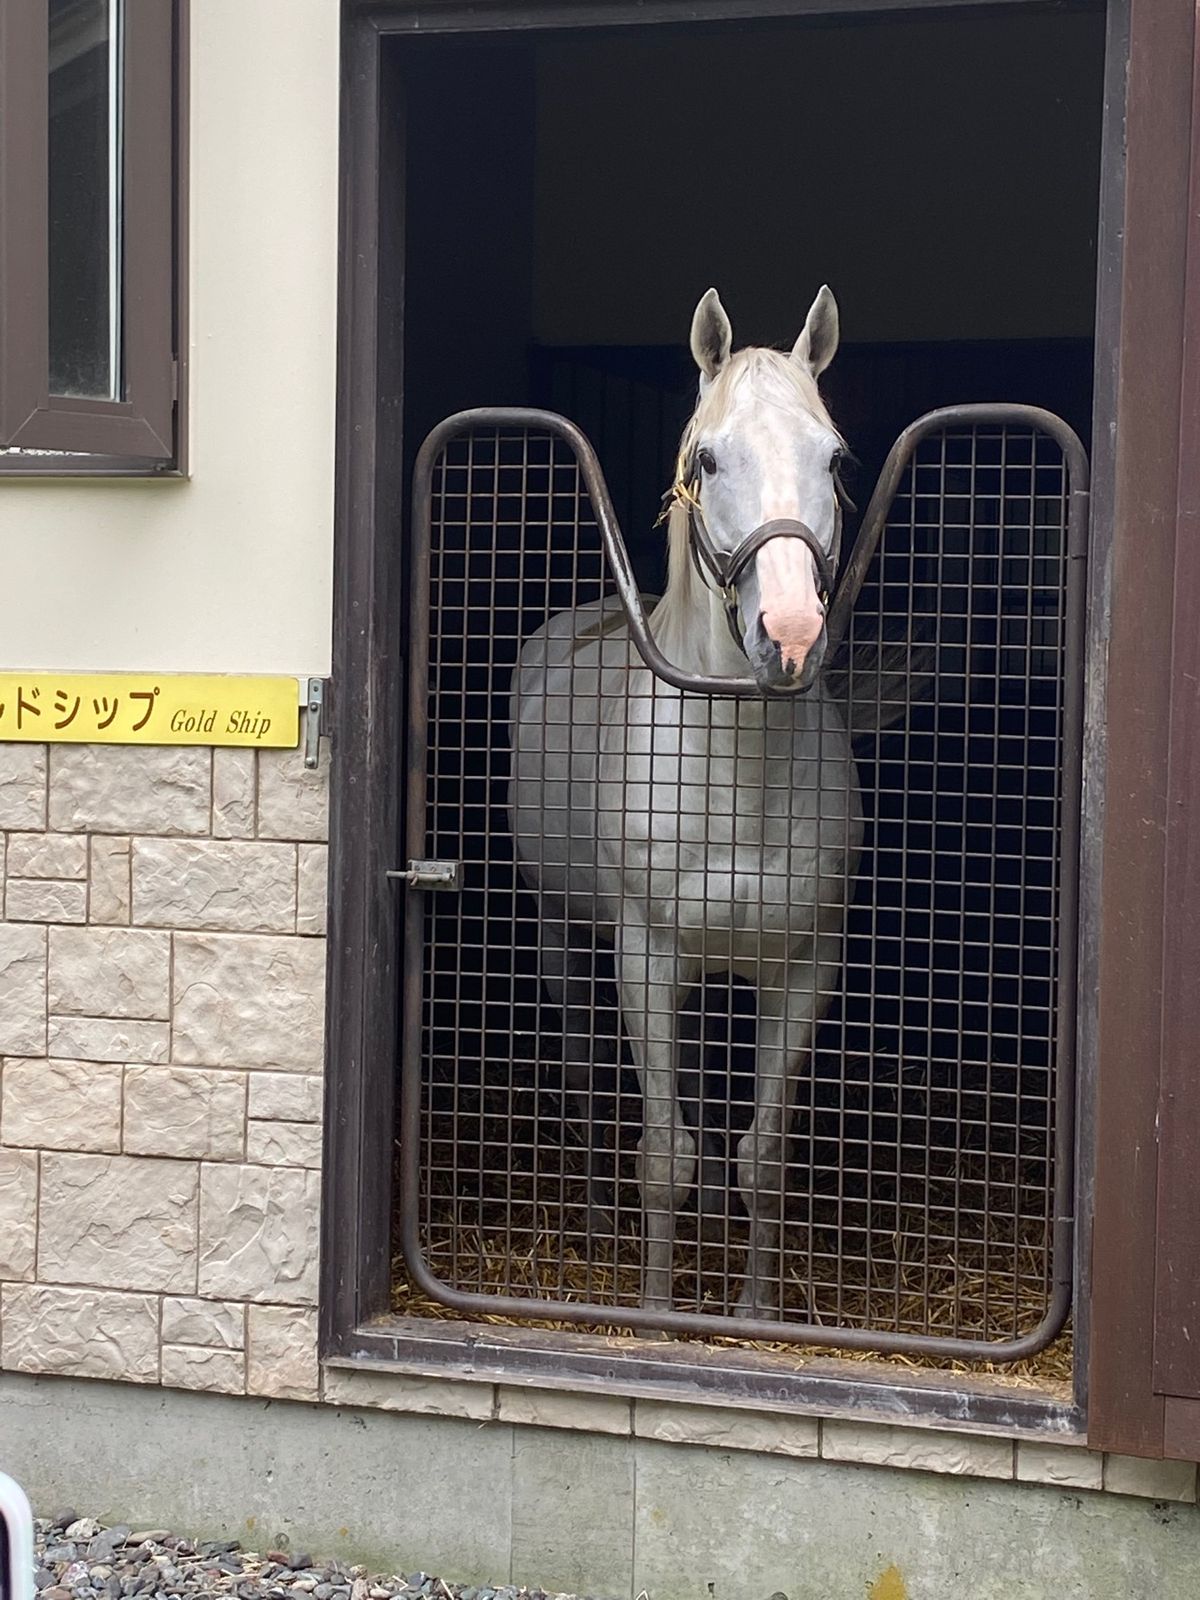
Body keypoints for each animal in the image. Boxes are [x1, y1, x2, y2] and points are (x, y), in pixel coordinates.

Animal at [507, 287, 864, 1320]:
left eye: (834, 457)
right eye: (709, 457)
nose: (790, 635)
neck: (735, 774)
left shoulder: (802, 966)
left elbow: (763, 1156)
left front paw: (752, 1313)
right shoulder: (647, 956)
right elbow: (663, 1155)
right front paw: (660, 1312)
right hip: (563, 934)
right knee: (585, 1071)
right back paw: (596, 1225)